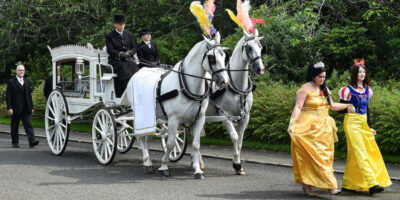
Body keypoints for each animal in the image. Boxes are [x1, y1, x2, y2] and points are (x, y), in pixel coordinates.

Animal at [135, 32, 228, 180]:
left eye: (224, 56)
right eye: (212, 58)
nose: (224, 82)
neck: (185, 85)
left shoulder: (199, 119)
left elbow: (195, 145)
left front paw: (197, 170)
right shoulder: (174, 119)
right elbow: (170, 144)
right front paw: (164, 167)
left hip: (151, 118)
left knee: (147, 138)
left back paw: (148, 161)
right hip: (139, 116)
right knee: (140, 138)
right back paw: (147, 162)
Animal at [206, 29, 266, 175]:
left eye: (261, 47)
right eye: (249, 48)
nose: (260, 69)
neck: (238, 88)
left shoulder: (245, 116)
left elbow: (240, 140)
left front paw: (239, 166)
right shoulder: (225, 115)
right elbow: (234, 137)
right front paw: (237, 165)